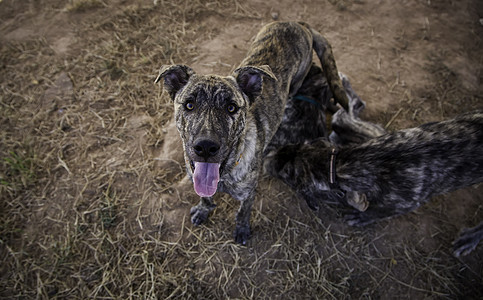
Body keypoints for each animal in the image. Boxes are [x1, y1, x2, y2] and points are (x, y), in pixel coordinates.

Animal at [157, 21, 350, 244]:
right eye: (189, 104)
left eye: (231, 108)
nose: (205, 147)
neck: (224, 174)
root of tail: (297, 23)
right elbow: (204, 196)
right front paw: (204, 209)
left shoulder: (249, 193)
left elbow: (243, 212)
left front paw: (241, 229)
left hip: (298, 79)